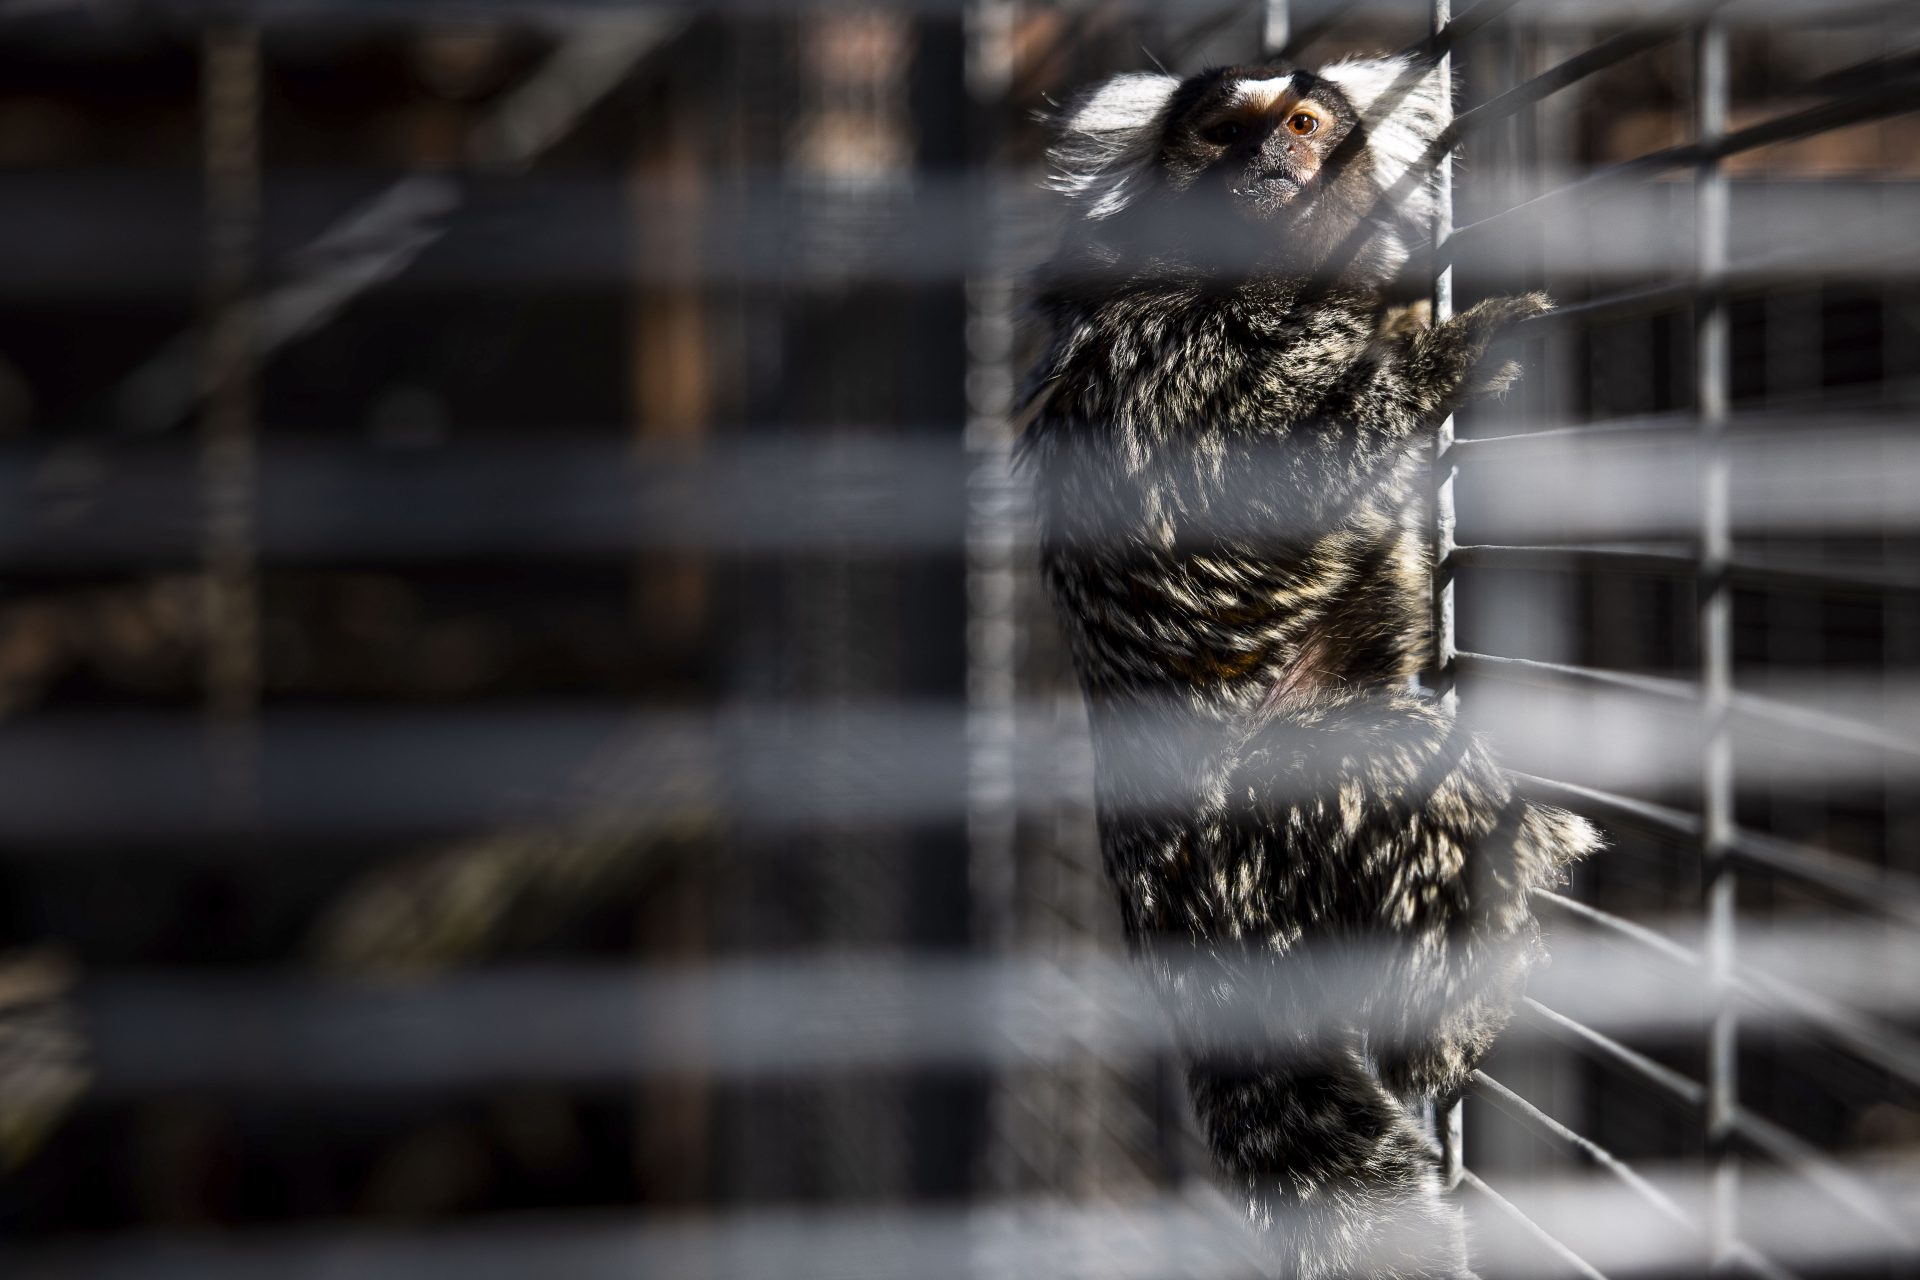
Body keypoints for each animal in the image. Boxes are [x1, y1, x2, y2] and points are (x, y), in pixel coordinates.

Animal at [1020, 55, 1602, 1279]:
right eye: (1218, 131)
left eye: (1301, 122)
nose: (1267, 159)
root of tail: (1162, 903)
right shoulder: (1169, 365)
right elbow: (1261, 471)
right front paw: (1445, 360)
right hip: (1269, 807)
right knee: (1398, 764)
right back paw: (1470, 999)